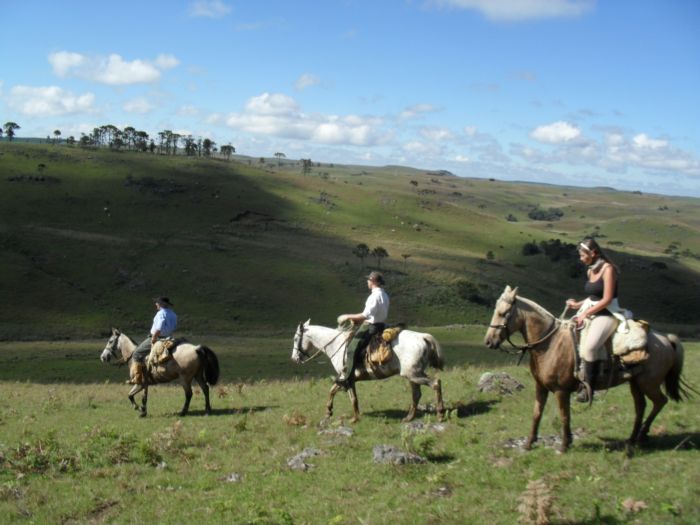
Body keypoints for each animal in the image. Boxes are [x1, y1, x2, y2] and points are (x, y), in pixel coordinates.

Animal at [292, 320, 446, 422]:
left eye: (295, 338)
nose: (294, 358)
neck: (336, 345)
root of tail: (423, 337)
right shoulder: (348, 379)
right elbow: (340, 393)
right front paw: (331, 412)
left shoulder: (346, 377)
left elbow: (346, 395)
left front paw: (352, 418)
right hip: (414, 375)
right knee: (417, 394)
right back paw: (409, 417)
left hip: (413, 375)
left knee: (435, 383)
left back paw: (440, 414)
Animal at [484, 286, 688, 450]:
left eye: (503, 312)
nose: (488, 341)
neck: (550, 343)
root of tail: (665, 339)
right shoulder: (541, 387)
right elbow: (536, 414)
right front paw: (528, 443)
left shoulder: (561, 391)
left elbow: (564, 416)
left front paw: (564, 445)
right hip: (636, 383)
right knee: (641, 406)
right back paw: (632, 439)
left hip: (649, 384)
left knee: (660, 402)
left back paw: (643, 435)